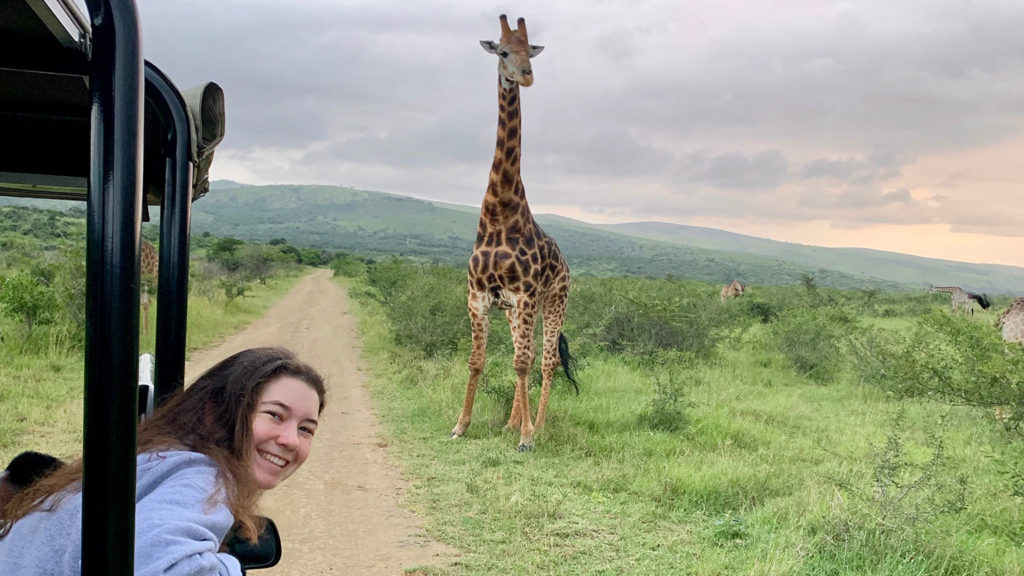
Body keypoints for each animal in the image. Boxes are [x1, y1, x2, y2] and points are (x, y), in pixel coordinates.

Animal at [452, 13, 581, 450]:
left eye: (531, 52)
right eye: (504, 52)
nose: (526, 76)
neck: (498, 213)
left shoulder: (525, 295)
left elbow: (523, 362)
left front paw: (526, 438)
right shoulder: (478, 295)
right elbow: (477, 361)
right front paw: (461, 425)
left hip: (554, 300)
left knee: (546, 360)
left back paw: (535, 427)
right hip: (513, 310)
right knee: (525, 357)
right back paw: (511, 423)